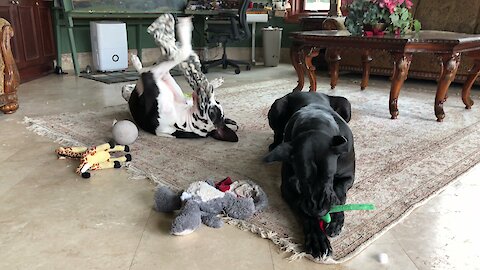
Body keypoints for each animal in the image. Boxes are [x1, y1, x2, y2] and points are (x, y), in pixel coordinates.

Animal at [122, 14, 238, 142]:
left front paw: (182, 27)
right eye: (217, 102)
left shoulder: (152, 75)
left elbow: (182, 51)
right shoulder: (161, 75)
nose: (207, 89)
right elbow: (171, 54)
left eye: (213, 111)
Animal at [264, 92, 354, 260]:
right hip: (277, 108)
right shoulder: (288, 187)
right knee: (277, 132)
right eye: (302, 181)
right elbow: (303, 211)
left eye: (329, 176)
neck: (316, 123)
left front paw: (336, 220)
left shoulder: (348, 177)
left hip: (346, 105)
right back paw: (275, 145)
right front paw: (317, 239)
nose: (319, 211)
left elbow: (339, 193)